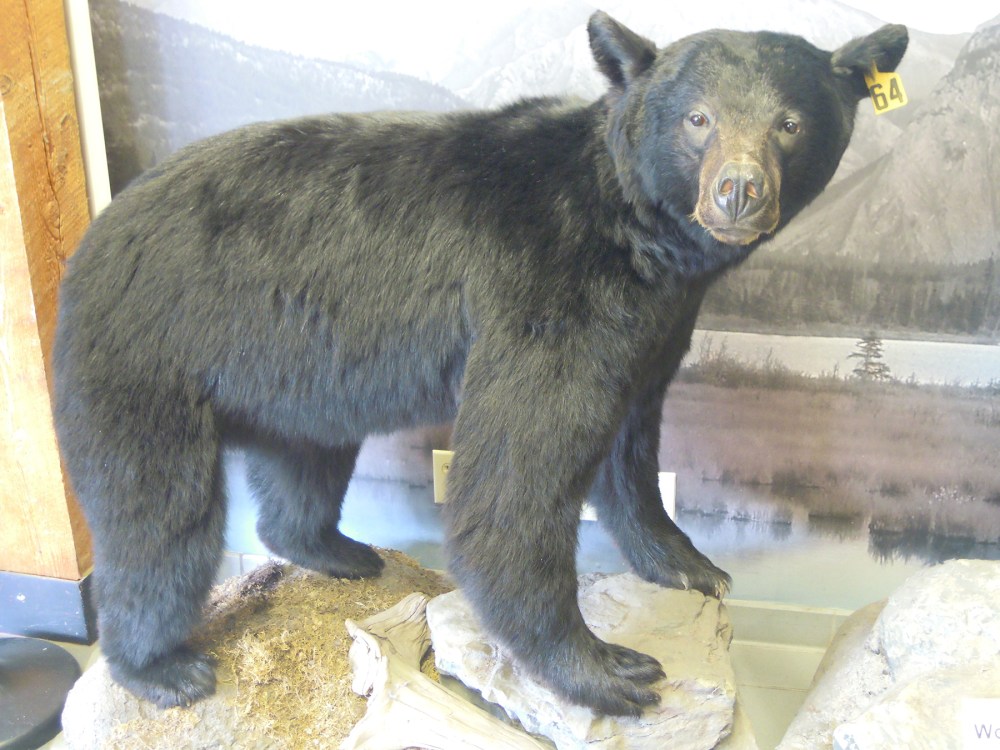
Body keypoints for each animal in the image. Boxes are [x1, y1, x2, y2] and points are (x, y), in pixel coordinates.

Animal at [53, 12, 907, 716]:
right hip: (149, 352)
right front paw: (605, 667)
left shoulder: (652, 323)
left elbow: (633, 446)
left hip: (297, 377)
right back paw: (159, 667)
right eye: (699, 119)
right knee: (156, 513)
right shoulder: (547, 288)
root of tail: (99, 227)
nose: (737, 191)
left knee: (304, 464)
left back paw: (339, 551)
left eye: (790, 122)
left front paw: (691, 563)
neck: (634, 233)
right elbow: (519, 468)